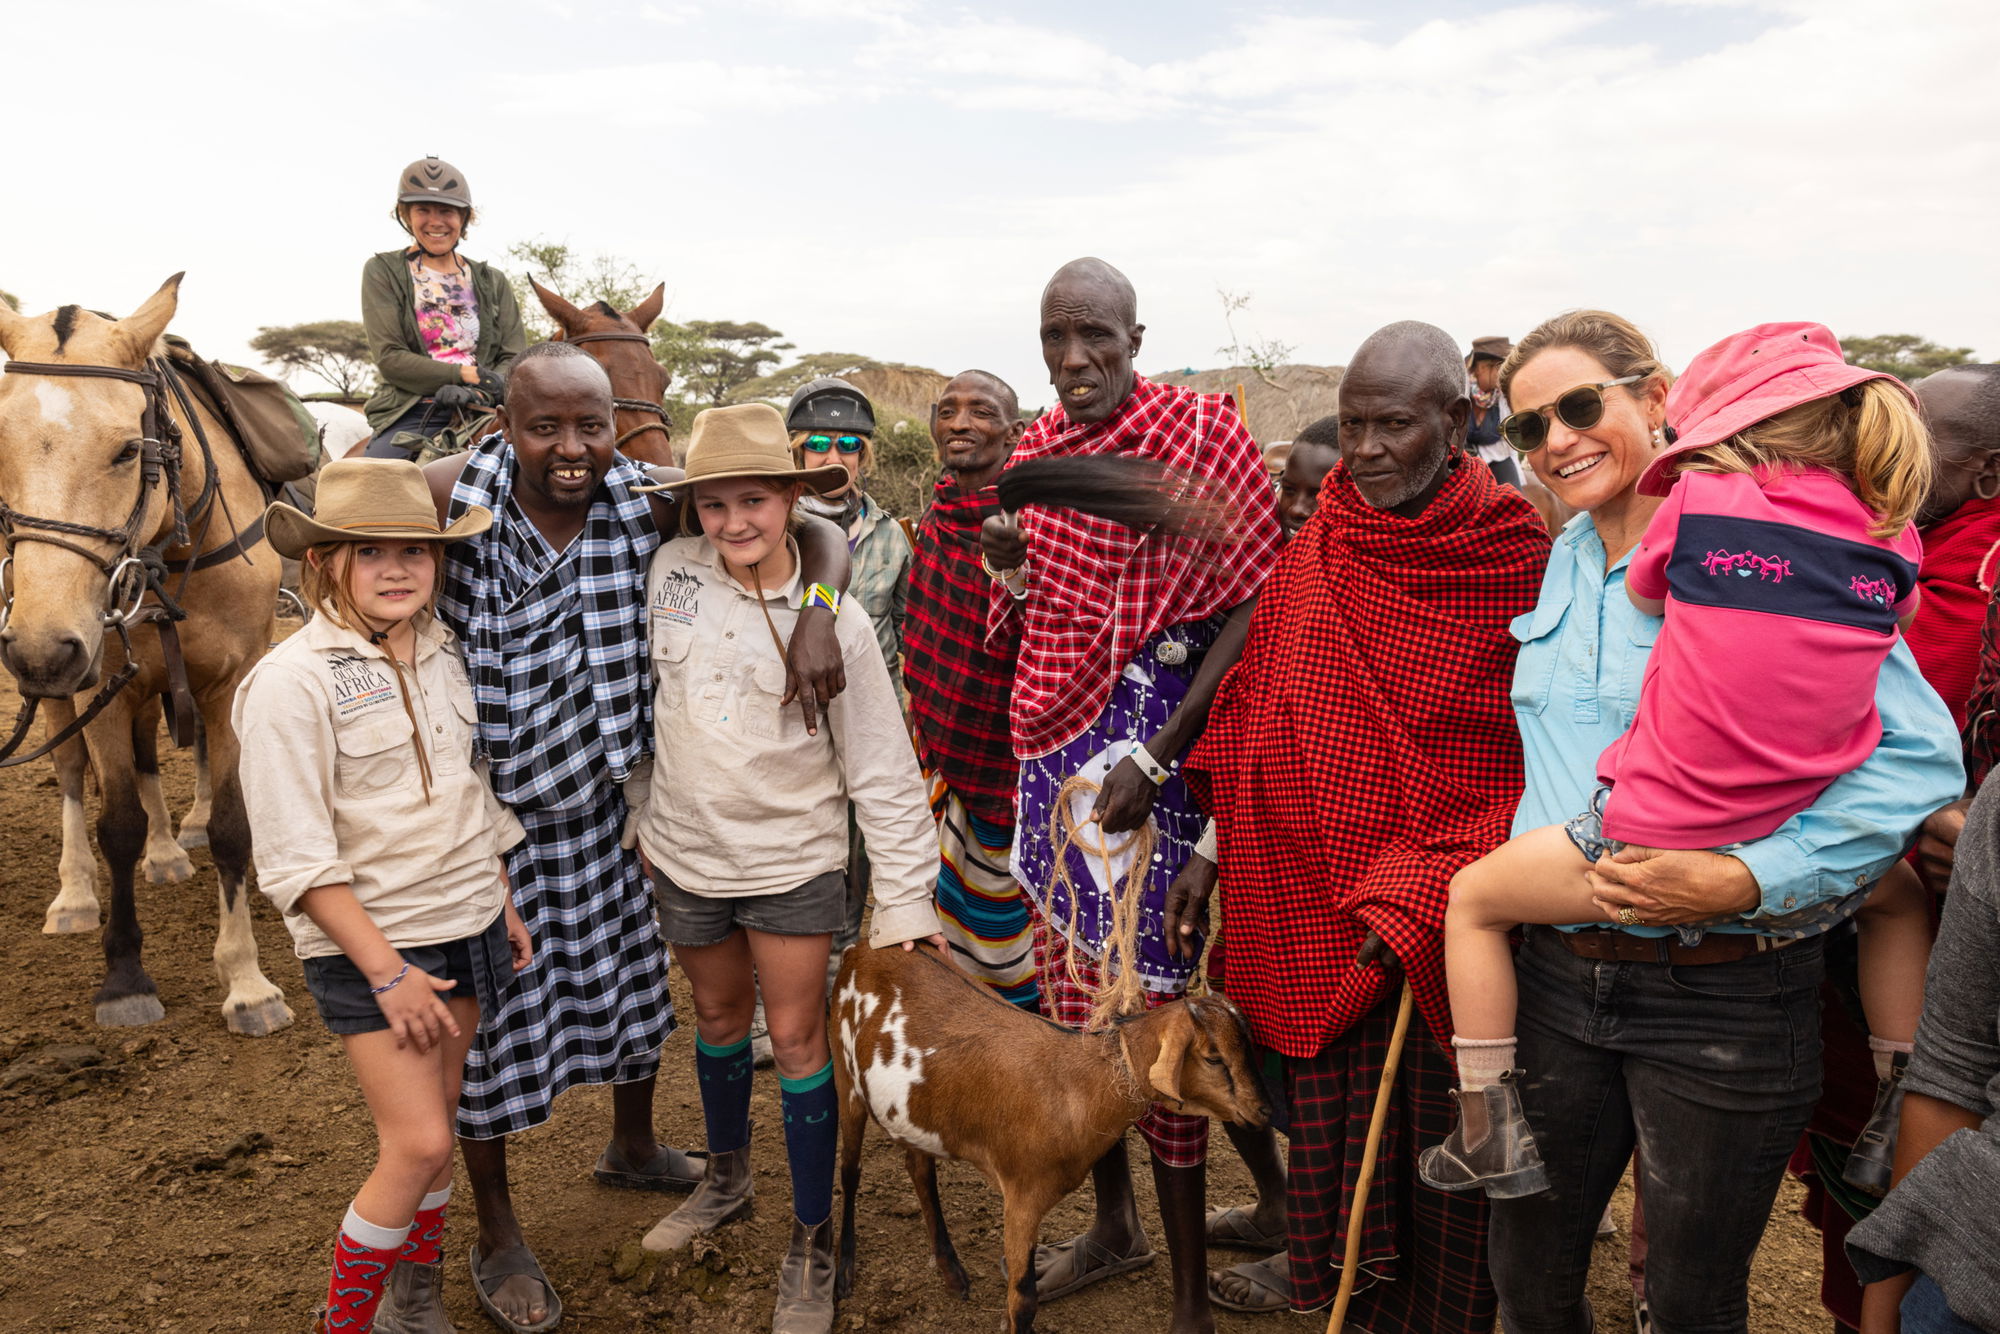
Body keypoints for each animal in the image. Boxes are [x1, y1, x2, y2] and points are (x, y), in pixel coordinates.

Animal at [833, 941, 1270, 1333]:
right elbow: (1023, 1300)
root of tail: (862, 947)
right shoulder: (1021, 1196)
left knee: (919, 1169)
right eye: (1213, 1057)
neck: (1078, 1085)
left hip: (912, 1111)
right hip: (845, 1078)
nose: (1262, 1111)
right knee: (850, 1172)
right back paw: (843, 1272)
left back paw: (952, 1272)